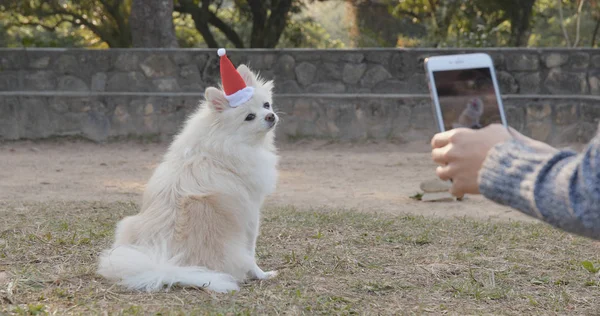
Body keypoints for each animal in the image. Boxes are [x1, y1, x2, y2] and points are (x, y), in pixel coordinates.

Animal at [96, 49, 278, 294]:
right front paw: (261, 274)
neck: (224, 140)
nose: (270, 116)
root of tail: (171, 264)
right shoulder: (251, 213)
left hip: (127, 226)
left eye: (266, 105)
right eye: (249, 117)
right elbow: (253, 250)